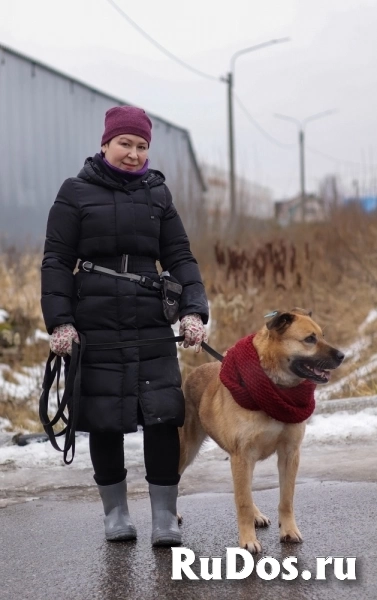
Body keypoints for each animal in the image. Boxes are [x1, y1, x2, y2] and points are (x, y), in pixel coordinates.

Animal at [179, 310, 344, 552]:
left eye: (323, 336)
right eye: (309, 339)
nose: (342, 356)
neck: (274, 388)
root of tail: (191, 375)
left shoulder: (289, 454)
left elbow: (286, 498)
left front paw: (288, 530)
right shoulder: (242, 456)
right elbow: (243, 502)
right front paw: (248, 540)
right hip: (186, 452)